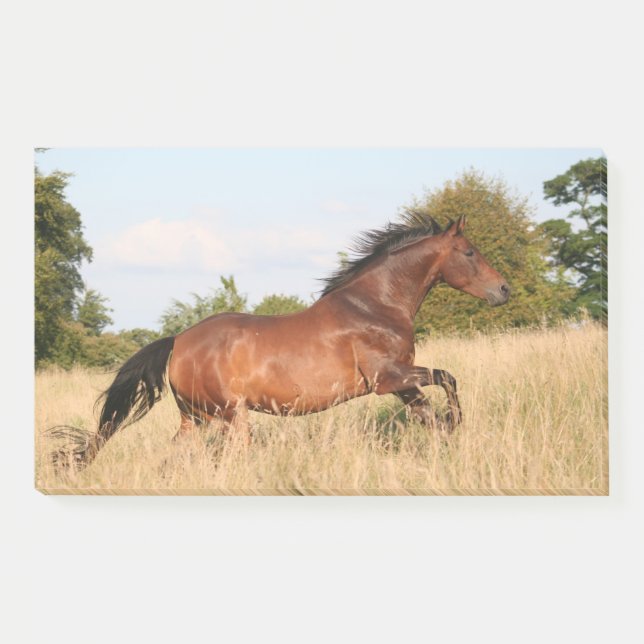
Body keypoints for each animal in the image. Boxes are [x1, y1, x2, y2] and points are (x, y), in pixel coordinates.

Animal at [50, 211, 509, 468]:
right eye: (470, 252)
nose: (503, 290)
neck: (375, 305)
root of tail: (178, 342)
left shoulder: (402, 384)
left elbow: (430, 412)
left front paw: (447, 437)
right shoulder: (388, 379)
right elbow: (448, 378)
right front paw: (455, 423)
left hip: (195, 419)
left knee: (176, 457)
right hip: (231, 417)